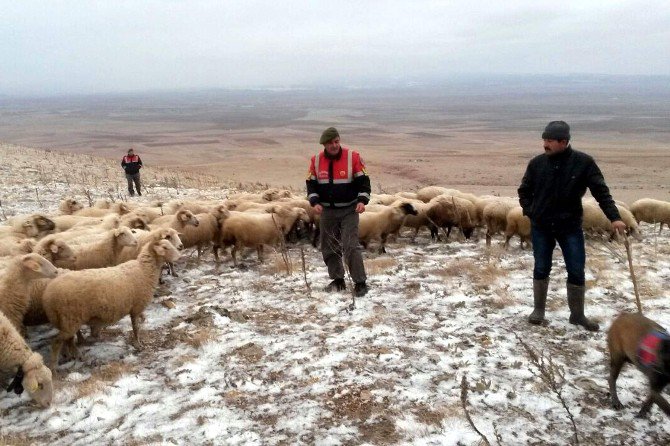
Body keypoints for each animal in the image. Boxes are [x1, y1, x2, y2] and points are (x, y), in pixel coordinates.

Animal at [43, 239, 182, 368]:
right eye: (165, 247)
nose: (179, 255)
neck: (144, 270)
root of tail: (48, 295)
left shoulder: (135, 307)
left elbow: (139, 322)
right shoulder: (136, 307)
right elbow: (136, 328)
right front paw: (138, 344)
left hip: (68, 320)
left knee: (68, 340)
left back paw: (75, 354)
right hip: (69, 319)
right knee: (57, 343)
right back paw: (55, 366)